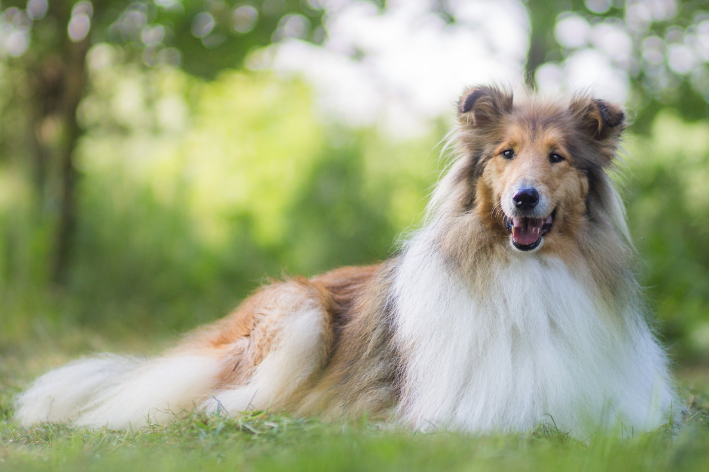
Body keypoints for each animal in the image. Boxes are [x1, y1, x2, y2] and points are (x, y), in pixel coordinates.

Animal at [16, 85, 676, 436]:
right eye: (507, 154)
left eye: (557, 157)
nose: (524, 198)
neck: (526, 274)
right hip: (299, 312)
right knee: (210, 401)